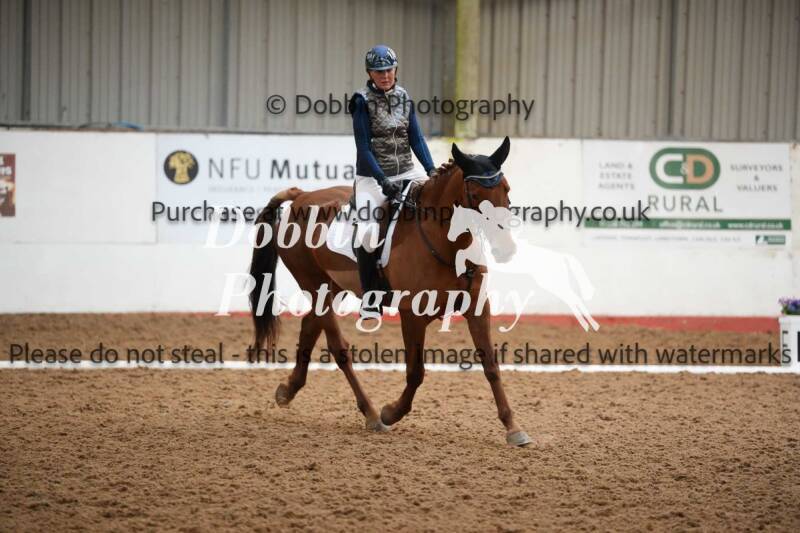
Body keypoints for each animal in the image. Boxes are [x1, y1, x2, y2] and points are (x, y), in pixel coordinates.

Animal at [248, 137, 532, 446]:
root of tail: (302, 196)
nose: (506, 249)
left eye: (506, 190)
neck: (446, 243)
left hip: (331, 288)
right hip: (313, 283)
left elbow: (491, 366)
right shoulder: (413, 314)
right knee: (338, 348)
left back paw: (287, 390)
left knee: (310, 327)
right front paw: (391, 412)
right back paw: (372, 414)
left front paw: (513, 428)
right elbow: (415, 372)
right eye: (476, 194)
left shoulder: (477, 307)